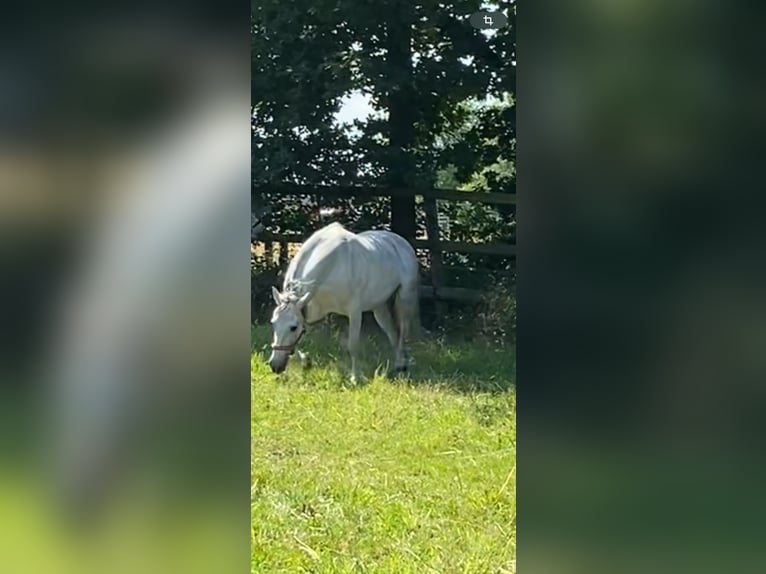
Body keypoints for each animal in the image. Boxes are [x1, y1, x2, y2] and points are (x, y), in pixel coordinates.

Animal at [270, 222, 424, 382]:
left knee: (403, 331)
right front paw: (304, 363)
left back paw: (402, 365)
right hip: (378, 306)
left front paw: (355, 378)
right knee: (392, 332)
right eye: (273, 323)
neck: (332, 266)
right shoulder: (308, 309)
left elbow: (352, 346)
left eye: (293, 327)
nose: (275, 366)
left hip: (406, 297)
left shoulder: (354, 312)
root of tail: (401, 242)